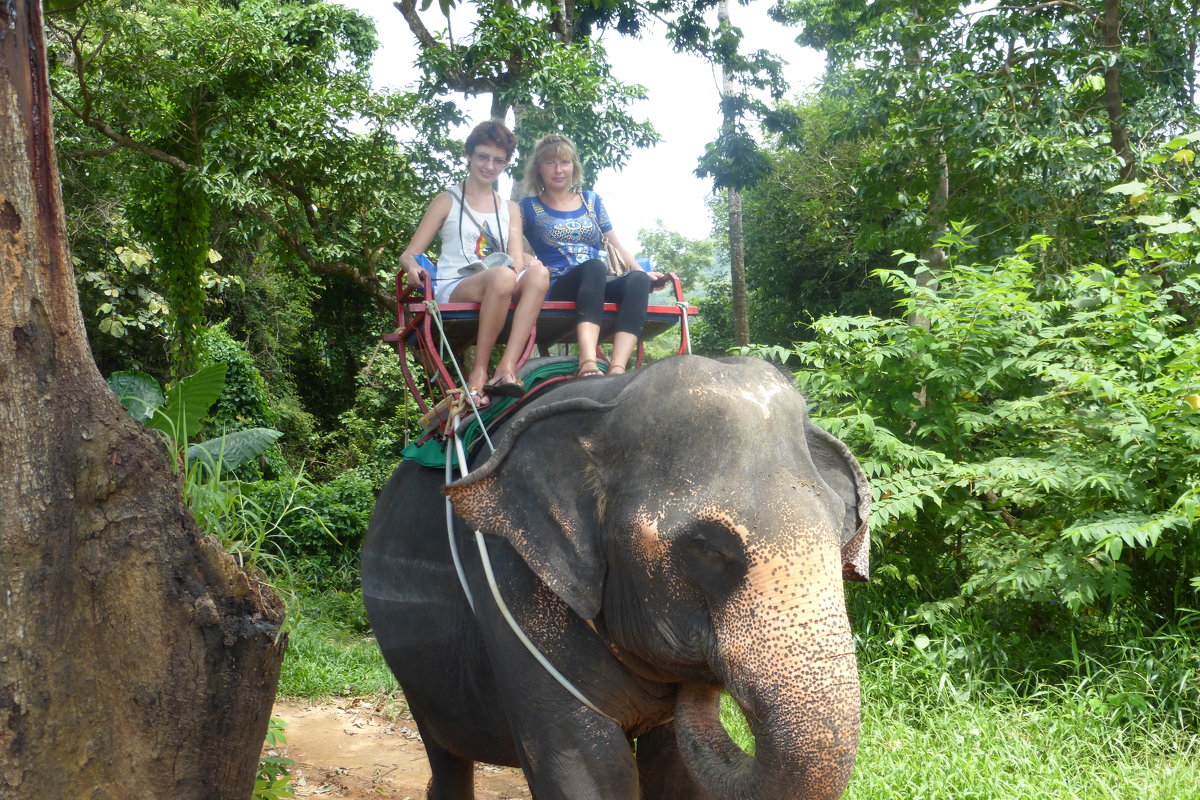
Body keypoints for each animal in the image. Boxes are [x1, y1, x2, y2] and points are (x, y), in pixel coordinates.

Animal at [357, 357, 873, 800]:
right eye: (706, 548)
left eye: (839, 532)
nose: (706, 674)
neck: (609, 400)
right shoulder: (512, 589)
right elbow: (588, 771)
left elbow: (672, 772)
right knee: (445, 752)